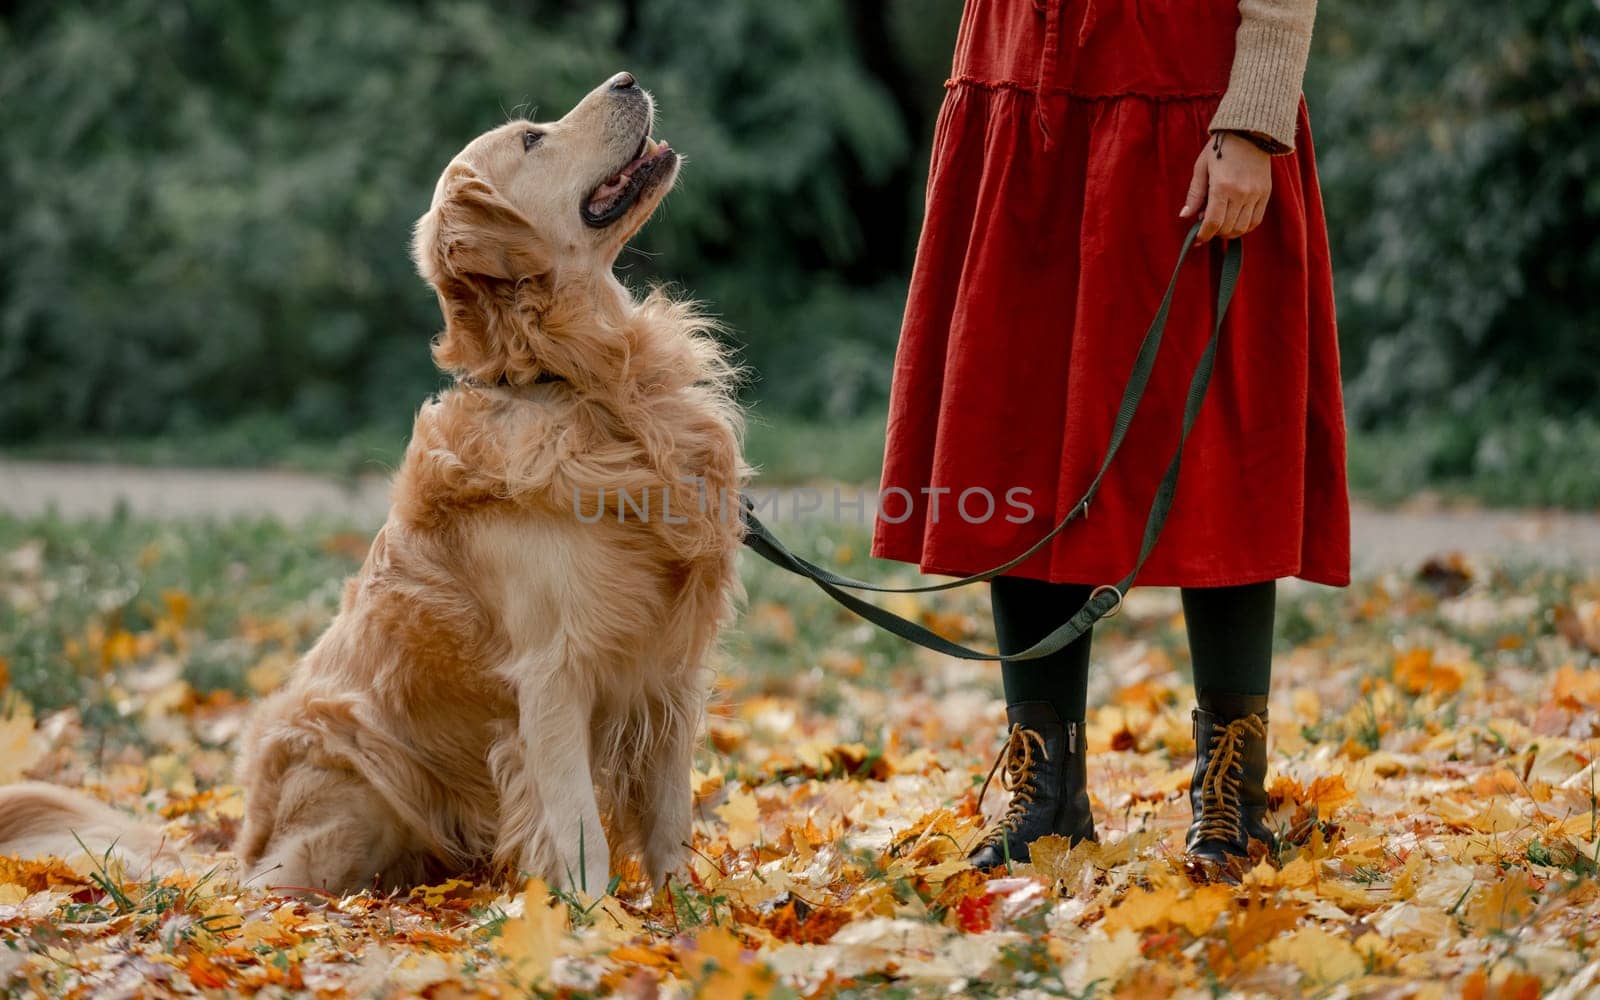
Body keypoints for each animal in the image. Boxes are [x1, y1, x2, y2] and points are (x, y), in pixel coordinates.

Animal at [0, 74, 748, 896]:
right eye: (531, 139)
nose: (627, 80)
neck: (584, 382)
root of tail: (237, 854)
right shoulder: (553, 674)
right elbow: (579, 830)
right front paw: (591, 918)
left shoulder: (670, 667)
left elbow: (672, 818)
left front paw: (686, 913)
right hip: (356, 779)